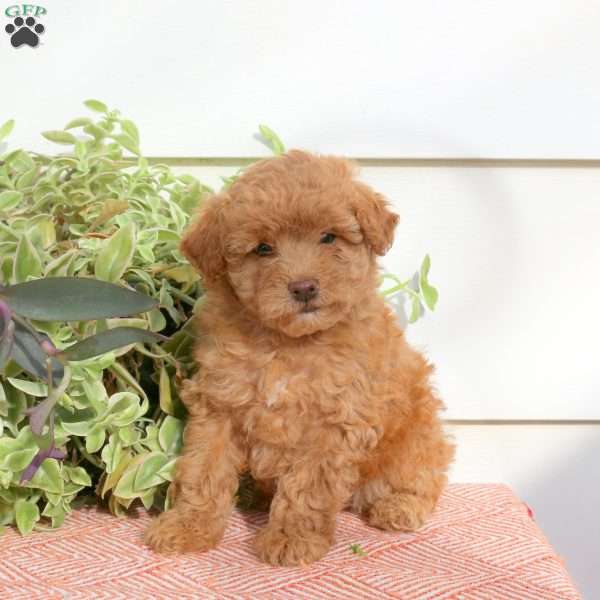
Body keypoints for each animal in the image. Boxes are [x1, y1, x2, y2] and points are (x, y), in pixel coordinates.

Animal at [144, 151, 454, 568]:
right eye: (263, 248)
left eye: (328, 237)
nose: (304, 287)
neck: (289, 343)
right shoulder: (219, 404)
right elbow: (203, 468)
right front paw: (188, 526)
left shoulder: (334, 421)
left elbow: (309, 485)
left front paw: (292, 538)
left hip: (417, 435)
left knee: (423, 475)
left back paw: (399, 506)